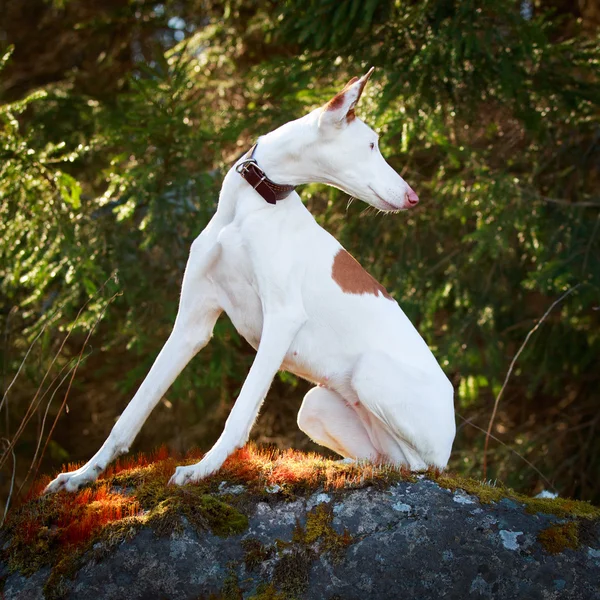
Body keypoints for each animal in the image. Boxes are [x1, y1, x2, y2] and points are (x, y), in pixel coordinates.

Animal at [47, 69, 454, 492]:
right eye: (371, 145)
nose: (413, 197)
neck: (252, 203)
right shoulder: (190, 325)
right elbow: (131, 413)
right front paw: (82, 474)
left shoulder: (283, 318)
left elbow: (239, 413)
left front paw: (202, 469)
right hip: (315, 405)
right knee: (386, 459)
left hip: (370, 376)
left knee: (414, 466)